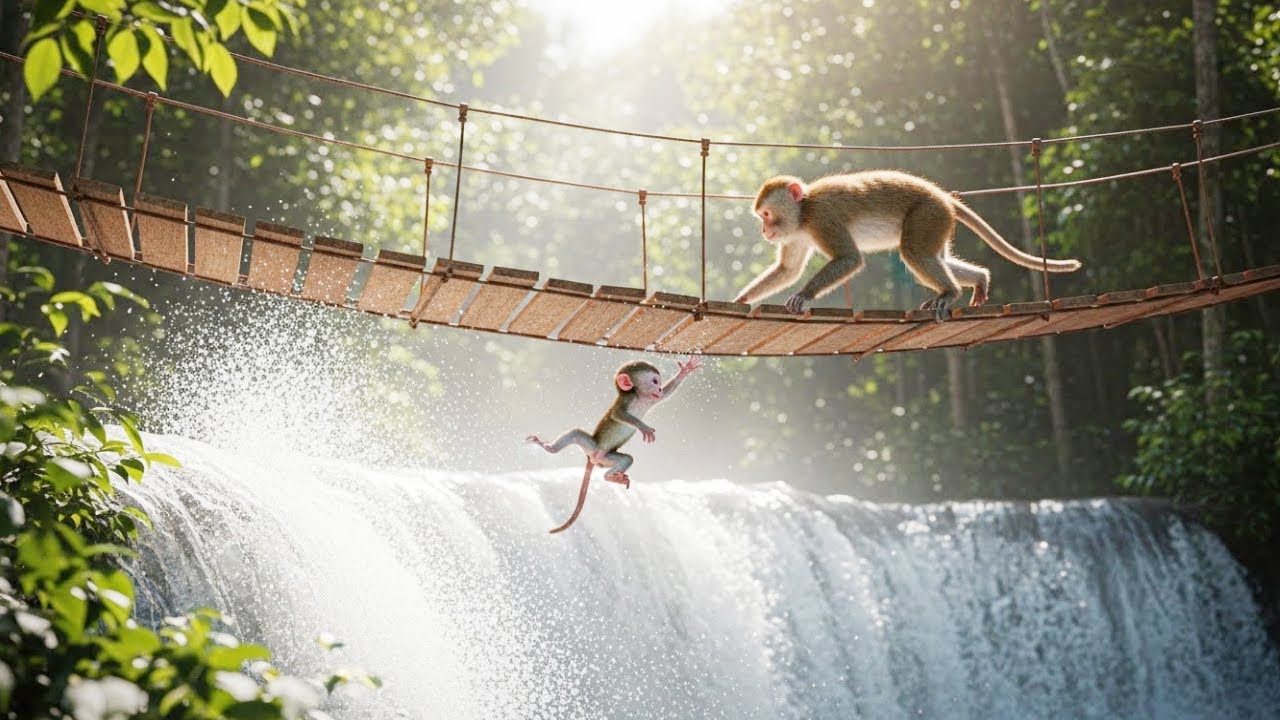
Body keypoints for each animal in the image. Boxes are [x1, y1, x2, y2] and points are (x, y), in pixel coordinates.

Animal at [526, 356, 703, 534]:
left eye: (659, 383)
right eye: (654, 381)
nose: (658, 388)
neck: (638, 396)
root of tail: (593, 458)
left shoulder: (649, 399)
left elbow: (666, 394)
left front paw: (684, 371)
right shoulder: (627, 401)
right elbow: (617, 414)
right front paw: (643, 426)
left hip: (607, 457)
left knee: (626, 459)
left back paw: (611, 476)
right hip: (592, 445)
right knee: (576, 433)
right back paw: (549, 448)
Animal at [734, 170, 1083, 321]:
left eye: (767, 214)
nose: (764, 230)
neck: (803, 211)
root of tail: (945, 199)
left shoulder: (822, 218)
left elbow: (849, 258)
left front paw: (804, 295)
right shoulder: (797, 233)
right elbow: (788, 269)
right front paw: (742, 299)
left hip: (928, 213)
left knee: (914, 252)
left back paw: (950, 292)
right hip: (939, 223)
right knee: (933, 255)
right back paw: (978, 280)